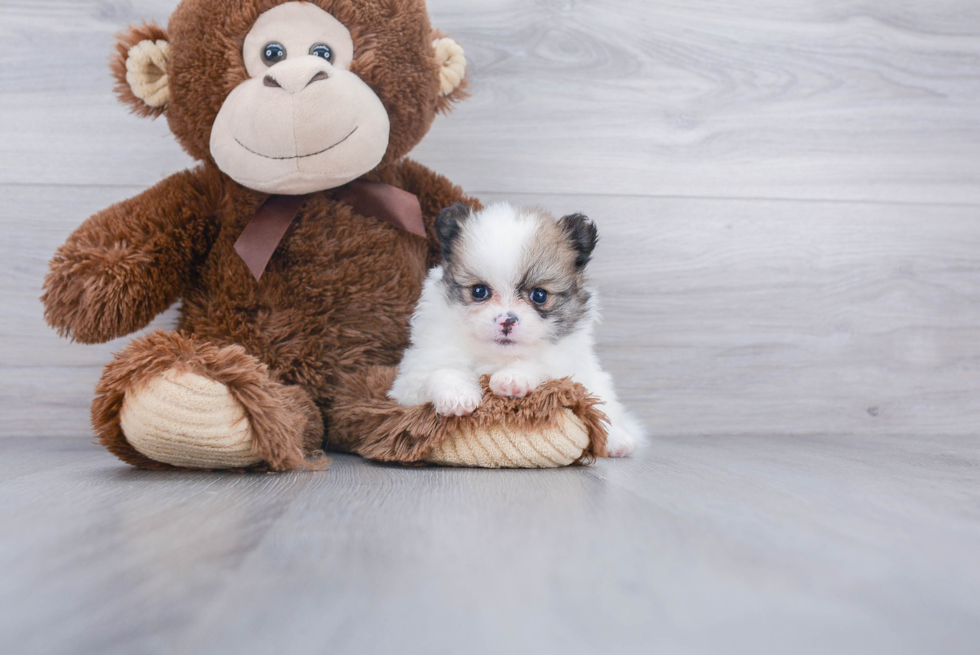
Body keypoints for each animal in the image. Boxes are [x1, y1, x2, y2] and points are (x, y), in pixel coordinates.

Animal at [386, 202, 648, 458]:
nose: (507, 321)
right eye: (479, 291)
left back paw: (618, 440)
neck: (497, 357)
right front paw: (456, 395)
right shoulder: (413, 377)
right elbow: (443, 371)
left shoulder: (566, 371)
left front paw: (513, 378)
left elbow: (538, 366)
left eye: (539, 295)